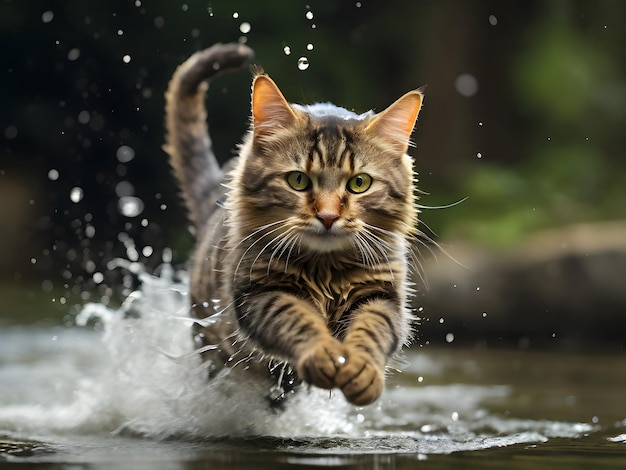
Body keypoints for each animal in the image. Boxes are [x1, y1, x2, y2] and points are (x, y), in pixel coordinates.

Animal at [163, 42, 422, 406]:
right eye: (298, 180)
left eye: (359, 183)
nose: (327, 216)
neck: (326, 269)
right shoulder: (260, 291)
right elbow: (299, 321)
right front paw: (323, 355)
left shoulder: (381, 293)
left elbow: (372, 329)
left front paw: (362, 372)